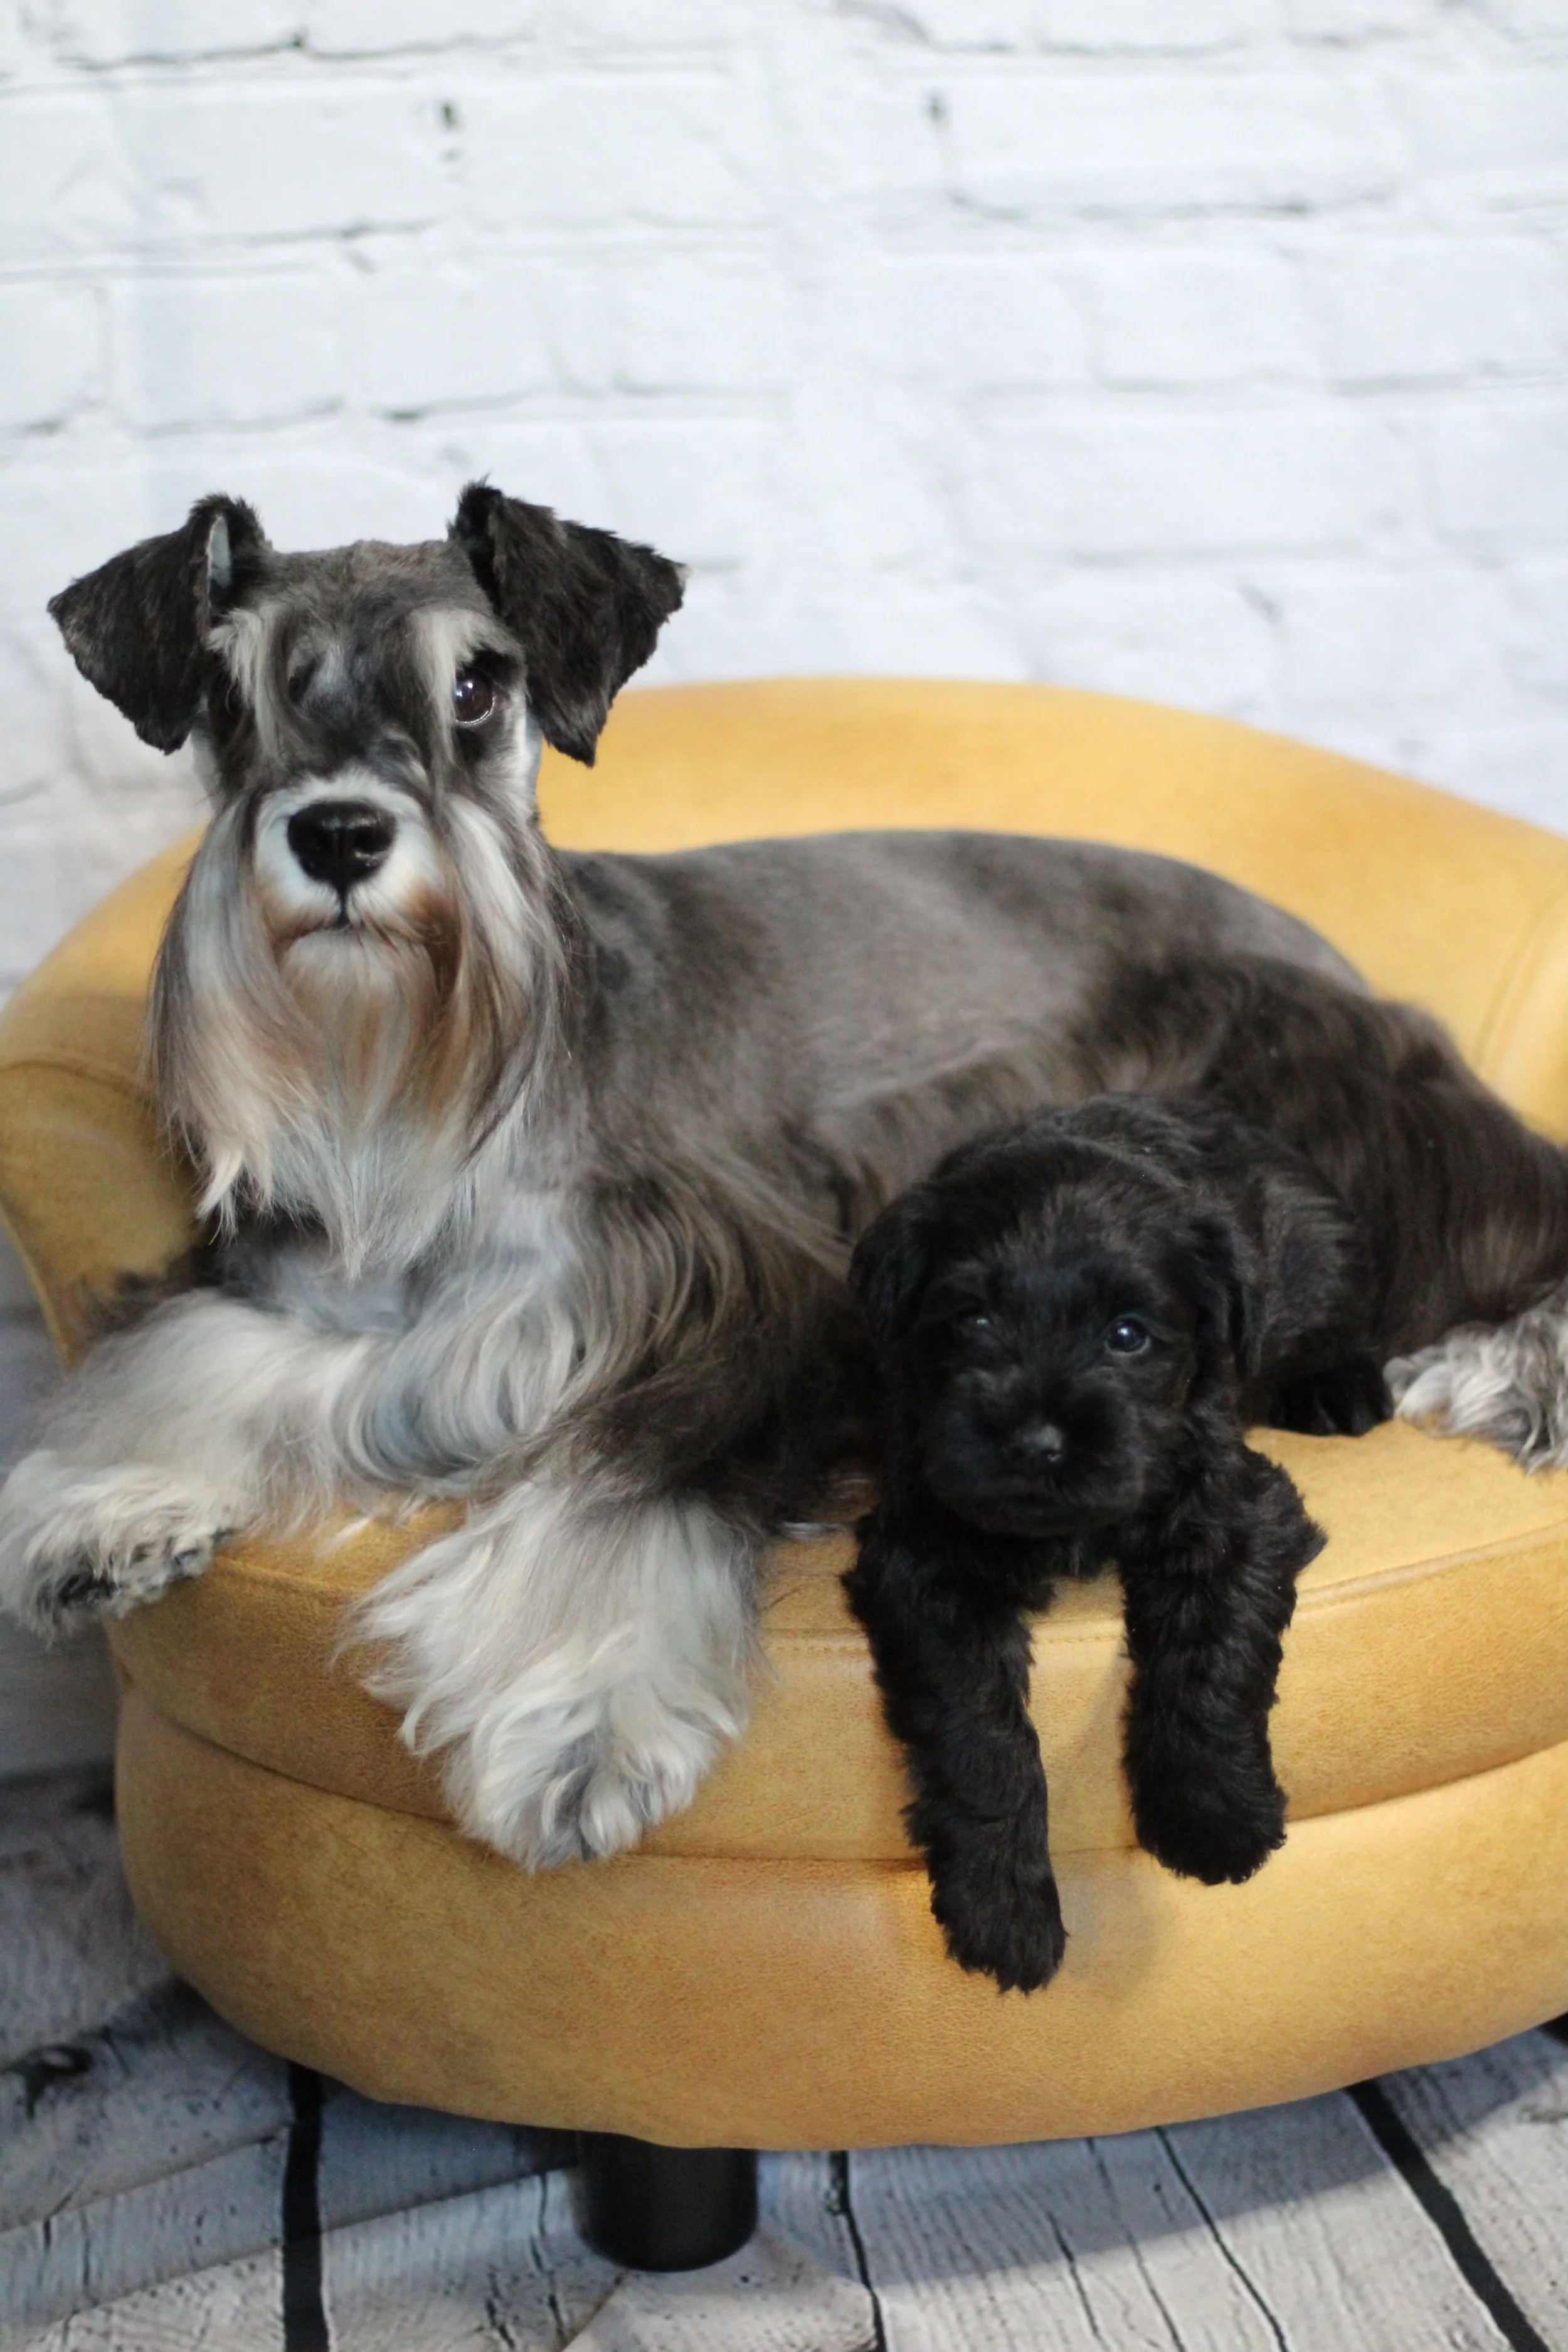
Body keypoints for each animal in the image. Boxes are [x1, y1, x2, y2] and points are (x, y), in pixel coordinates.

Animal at [0, 483, 1472, 1876]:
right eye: (226, 692)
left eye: (476, 685)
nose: (344, 835)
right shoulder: (294, 1285)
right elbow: (184, 1355)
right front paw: (103, 1506)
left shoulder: (745, 1309)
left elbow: (630, 1489)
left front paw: (582, 1724)